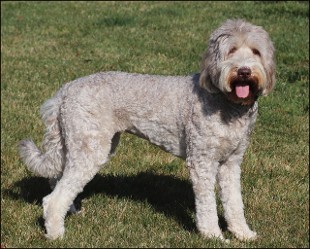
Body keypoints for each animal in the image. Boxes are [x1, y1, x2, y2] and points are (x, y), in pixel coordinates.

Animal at [19, 19, 274, 241]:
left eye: (255, 52)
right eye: (231, 51)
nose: (243, 71)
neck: (225, 102)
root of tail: (65, 90)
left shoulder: (231, 162)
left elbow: (234, 202)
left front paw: (243, 233)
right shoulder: (202, 161)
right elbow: (207, 205)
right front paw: (213, 236)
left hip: (81, 145)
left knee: (57, 180)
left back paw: (68, 213)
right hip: (90, 148)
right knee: (53, 198)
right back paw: (56, 233)